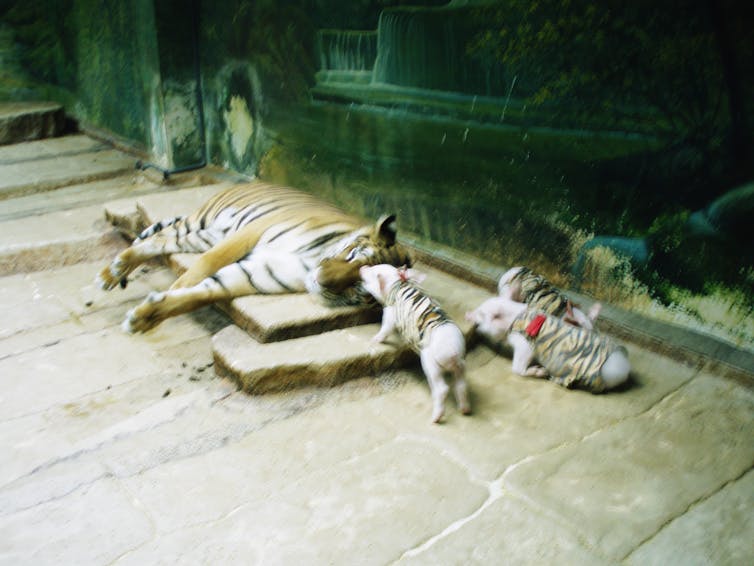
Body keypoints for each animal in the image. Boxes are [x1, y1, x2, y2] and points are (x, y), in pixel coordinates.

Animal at [95, 182, 412, 332]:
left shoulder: (257, 273)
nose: (321, 280)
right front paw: (166, 295)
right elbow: (202, 268)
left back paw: (116, 272)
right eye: (353, 256)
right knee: (157, 239)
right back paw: (112, 272)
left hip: (204, 236)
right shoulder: (250, 233)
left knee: (162, 242)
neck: (310, 263)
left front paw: (144, 317)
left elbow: (202, 293)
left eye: (362, 287)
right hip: (205, 224)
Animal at [356, 266, 468, 426]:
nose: (363, 267)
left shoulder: (390, 312)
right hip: (462, 364)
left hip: (430, 362)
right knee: (461, 385)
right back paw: (465, 410)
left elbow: (386, 327)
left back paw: (435, 419)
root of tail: (453, 352)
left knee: (442, 389)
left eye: (373, 273)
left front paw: (374, 340)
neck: (397, 285)